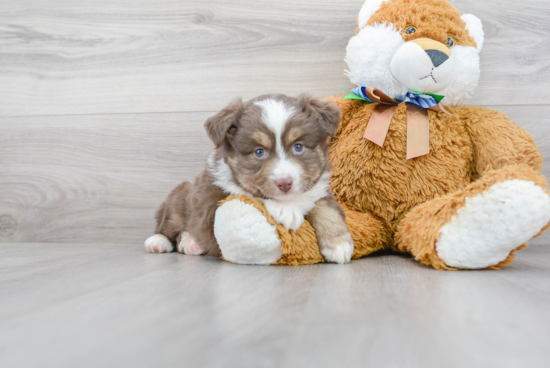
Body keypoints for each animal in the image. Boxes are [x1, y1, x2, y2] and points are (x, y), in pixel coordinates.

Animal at [144, 93, 356, 264]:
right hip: (179, 199)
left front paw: (338, 243)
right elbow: (252, 195)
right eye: (259, 152)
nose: (285, 183)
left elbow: (325, 207)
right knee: (166, 224)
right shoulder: (213, 202)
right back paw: (159, 242)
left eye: (298, 146)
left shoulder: (319, 189)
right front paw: (286, 211)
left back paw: (191, 244)